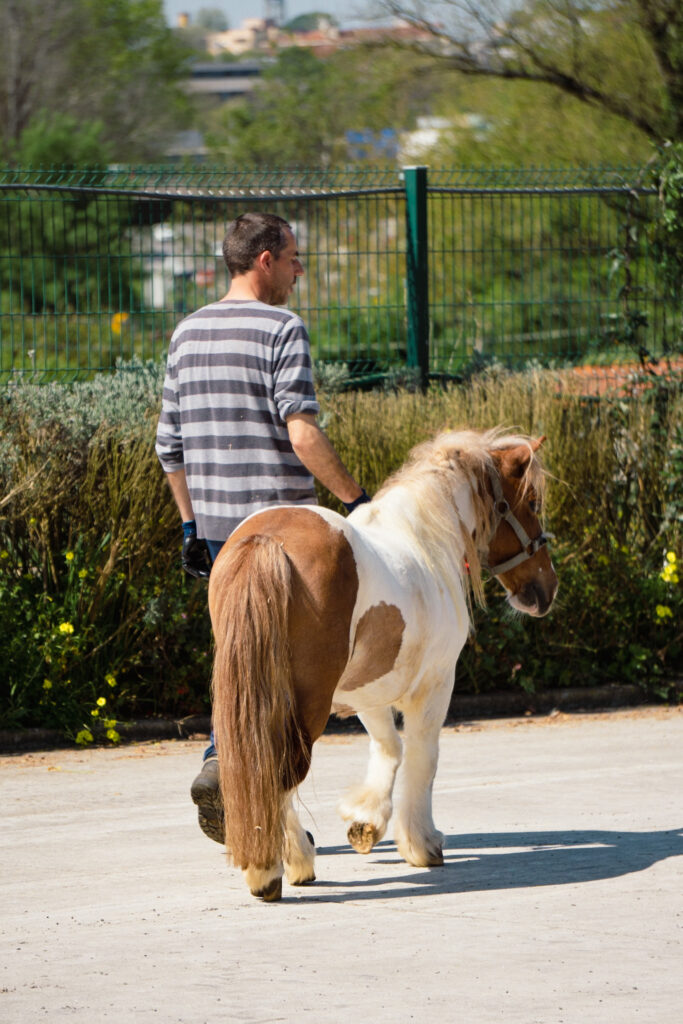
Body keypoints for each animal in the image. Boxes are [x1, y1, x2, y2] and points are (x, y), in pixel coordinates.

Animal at [208, 427, 558, 901]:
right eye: (532, 503)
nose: (545, 590)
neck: (424, 542)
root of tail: (268, 540)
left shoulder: (367, 692)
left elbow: (388, 748)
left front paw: (367, 822)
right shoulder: (436, 685)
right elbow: (422, 757)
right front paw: (422, 843)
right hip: (307, 703)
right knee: (280, 773)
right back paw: (276, 867)